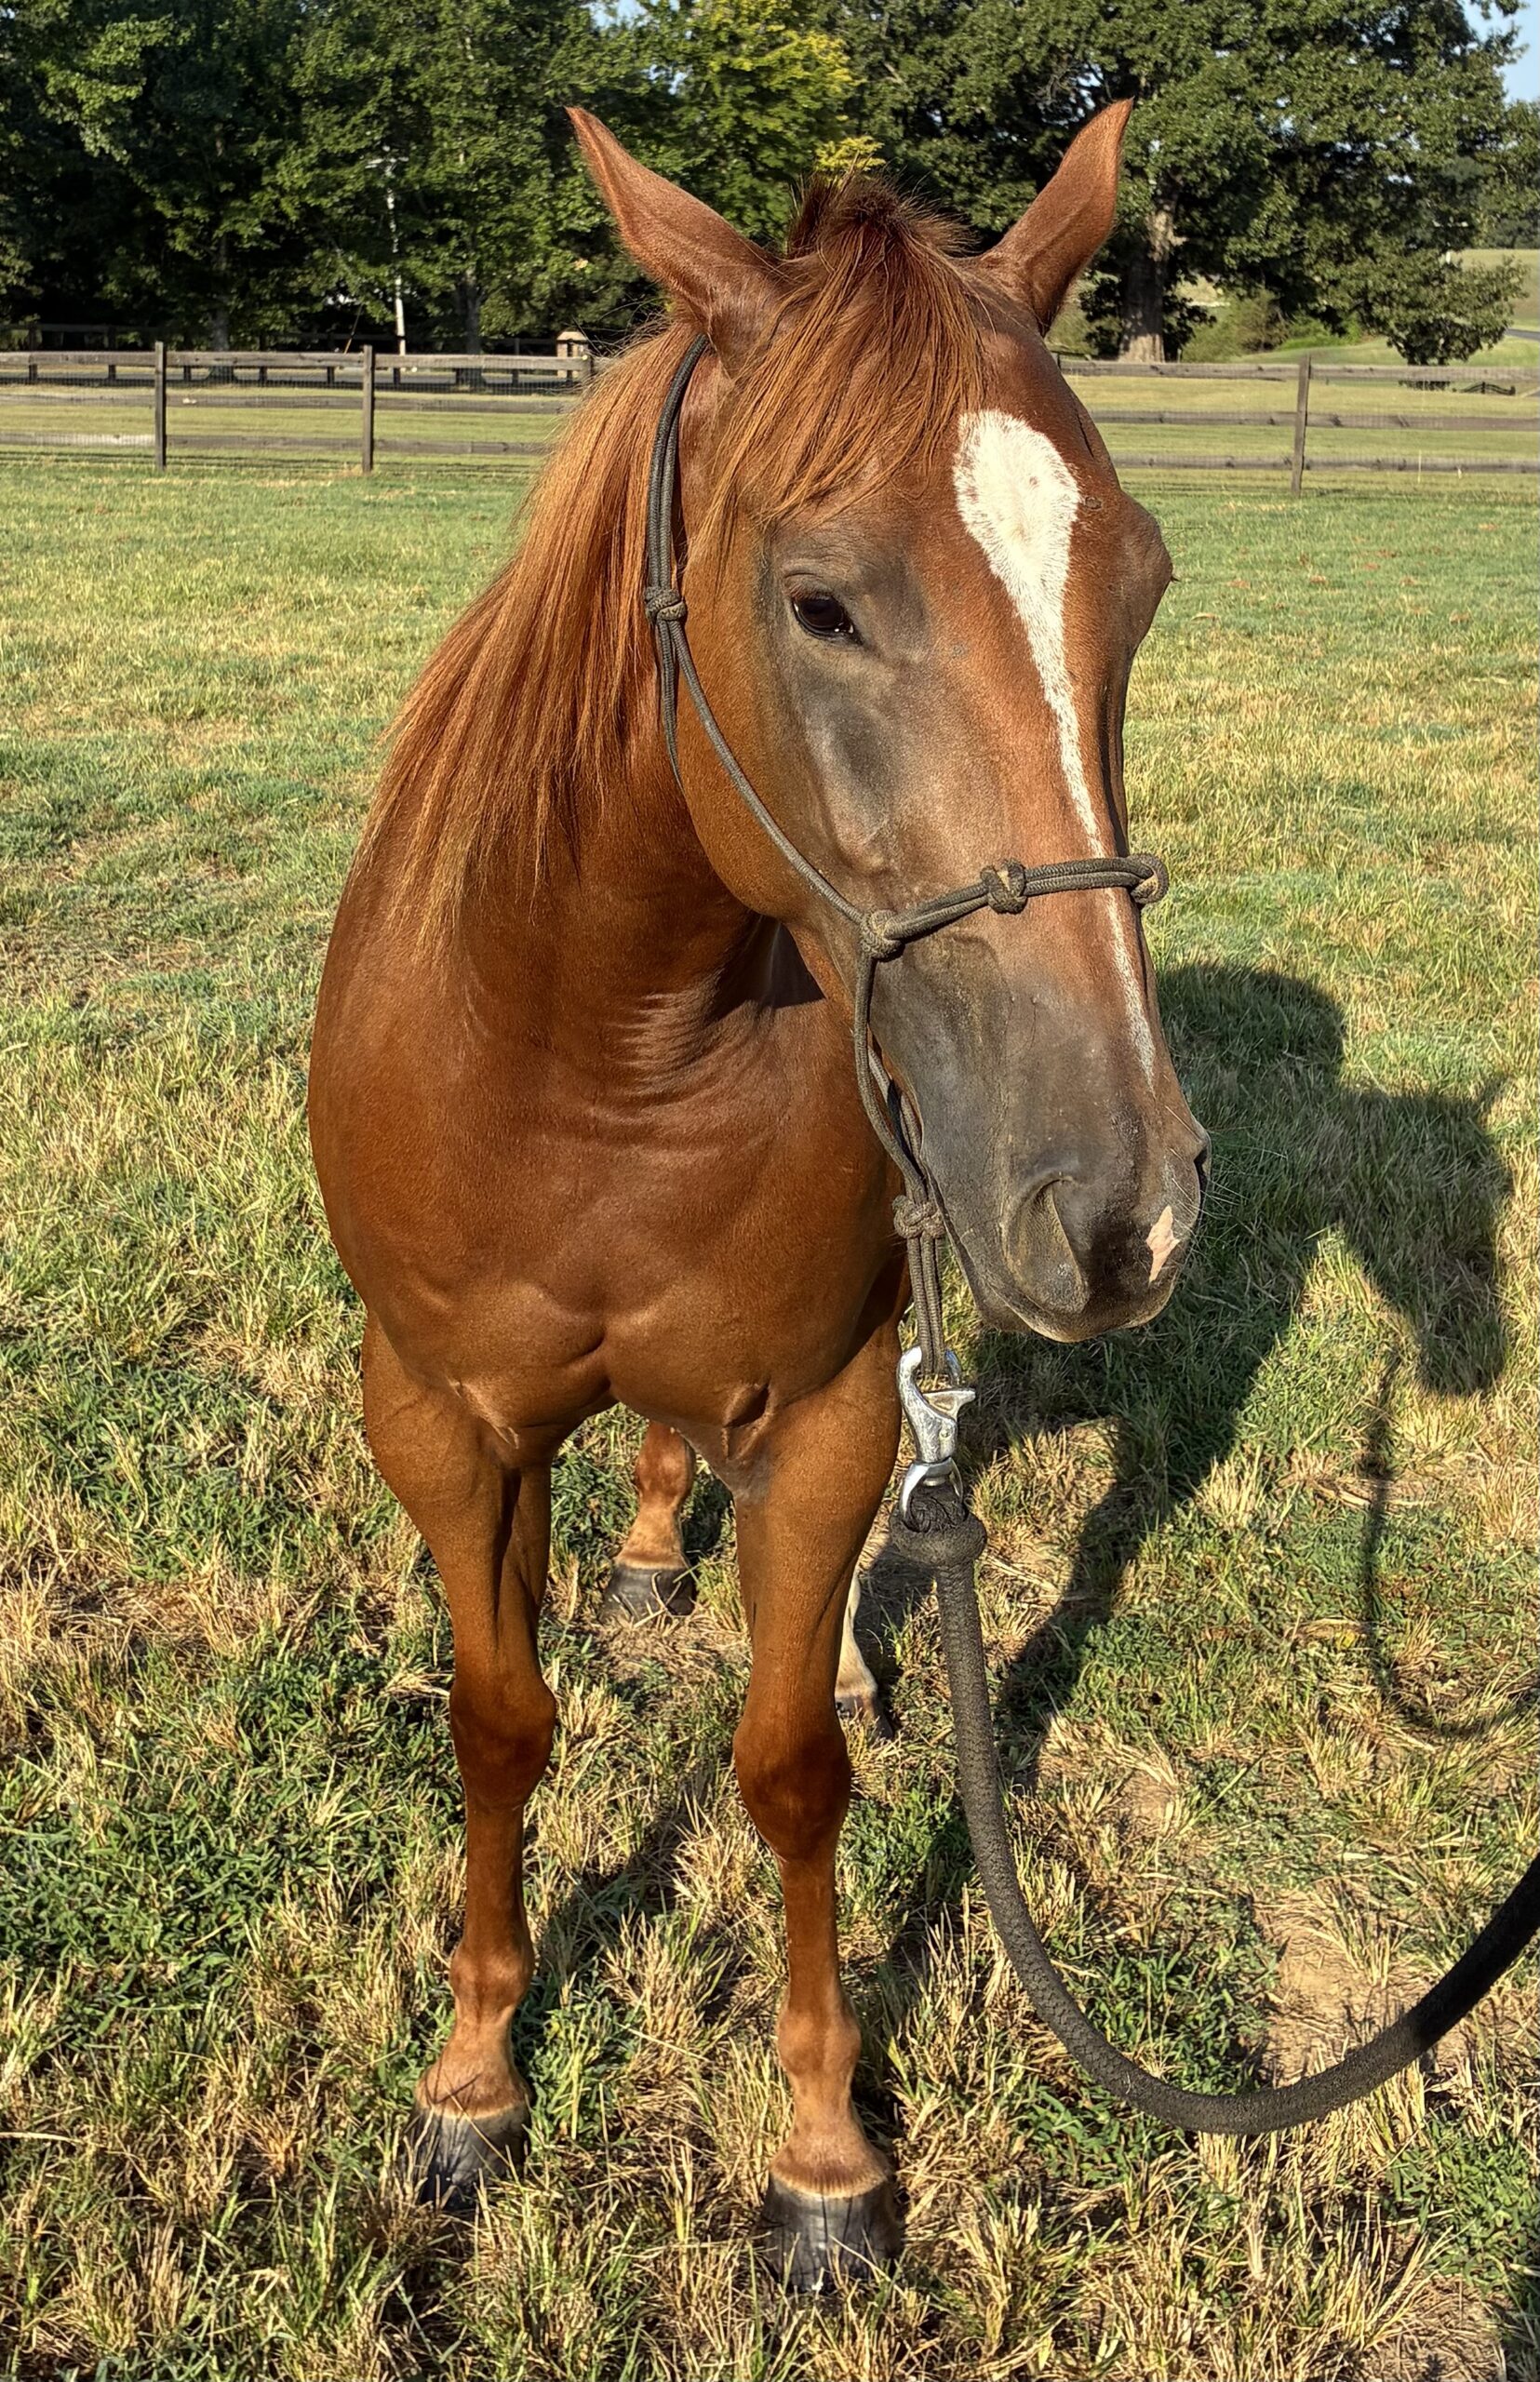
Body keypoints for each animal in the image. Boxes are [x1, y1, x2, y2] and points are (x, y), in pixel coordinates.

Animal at [307, 99, 1208, 2290]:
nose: (1121, 1208)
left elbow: (792, 1768)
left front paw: (820, 2156)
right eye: (819, 604)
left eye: (1132, 585)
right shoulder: (438, 1416)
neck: (604, 1054)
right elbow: (498, 1721)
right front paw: (473, 2084)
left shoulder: (824, 1405)